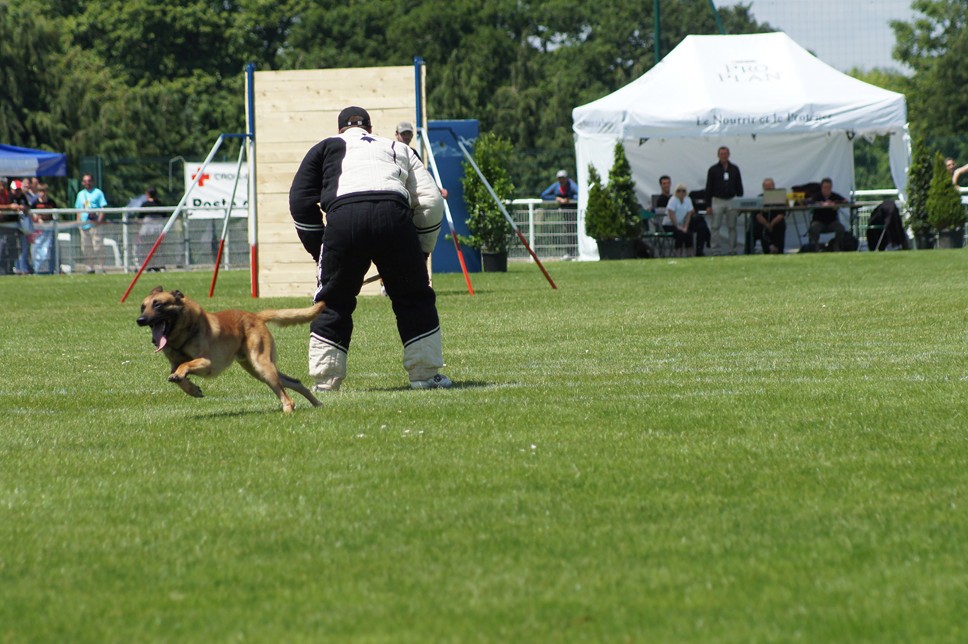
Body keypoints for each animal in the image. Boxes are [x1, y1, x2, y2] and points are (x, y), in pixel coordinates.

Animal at [136, 286, 326, 412]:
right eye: (143, 307)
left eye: (158, 305)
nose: (140, 320)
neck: (182, 335)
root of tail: (256, 316)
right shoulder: (174, 365)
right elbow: (179, 376)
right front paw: (192, 389)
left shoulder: (206, 362)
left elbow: (185, 365)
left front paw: (185, 380)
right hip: (257, 370)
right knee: (294, 382)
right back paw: (317, 404)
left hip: (262, 366)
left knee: (286, 396)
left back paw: (288, 410)